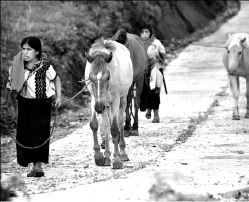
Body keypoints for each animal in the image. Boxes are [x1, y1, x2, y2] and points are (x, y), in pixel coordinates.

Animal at [84, 38, 133, 169]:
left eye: (108, 77)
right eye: (90, 78)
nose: (99, 108)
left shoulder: (114, 100)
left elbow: (115, 129)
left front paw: (116, 159)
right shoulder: (94, 99)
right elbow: (95, 124)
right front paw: (98, 156)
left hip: (122, 98)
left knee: (120, 120)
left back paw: (122, 153)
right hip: (105, 105)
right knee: (106, 124)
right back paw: (106, 156)